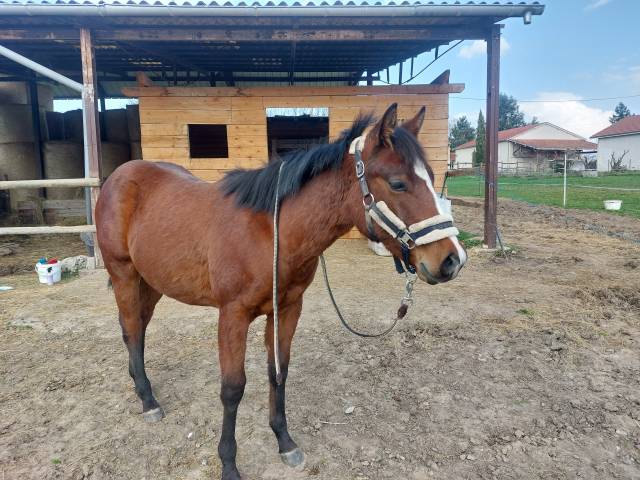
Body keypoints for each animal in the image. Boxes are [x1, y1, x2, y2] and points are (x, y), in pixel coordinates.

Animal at [95, 103, 466, 480]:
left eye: (431, 178)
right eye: (397, 183)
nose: (452, 260)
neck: (271, 232)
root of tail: (119, 176)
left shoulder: (287, 309)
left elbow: (279, 372)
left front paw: (284, 441)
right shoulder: (233, 315)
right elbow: (233, 388)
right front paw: (228, 463)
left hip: (151, 281)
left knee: (138, 328)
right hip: (125, 274)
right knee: (131, 329)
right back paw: (148, 401)